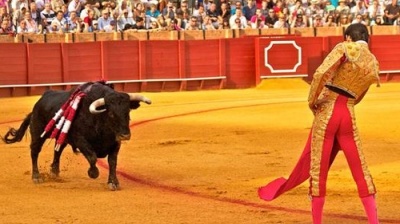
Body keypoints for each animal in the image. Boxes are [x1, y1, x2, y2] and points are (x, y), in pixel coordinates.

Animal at [1, 82, 152, 191]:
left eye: (127, 112)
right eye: (111, 114)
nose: (125, 135)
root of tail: (38, 104)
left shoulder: (115, 143)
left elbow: (112, 162)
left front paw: (113, 182)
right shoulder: (80, 140)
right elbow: (92, 157)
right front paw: (93, 173)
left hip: (62, 137)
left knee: (57, 150)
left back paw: (54, 172)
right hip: (38, 134)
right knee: (34, 152)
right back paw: (36, 177)